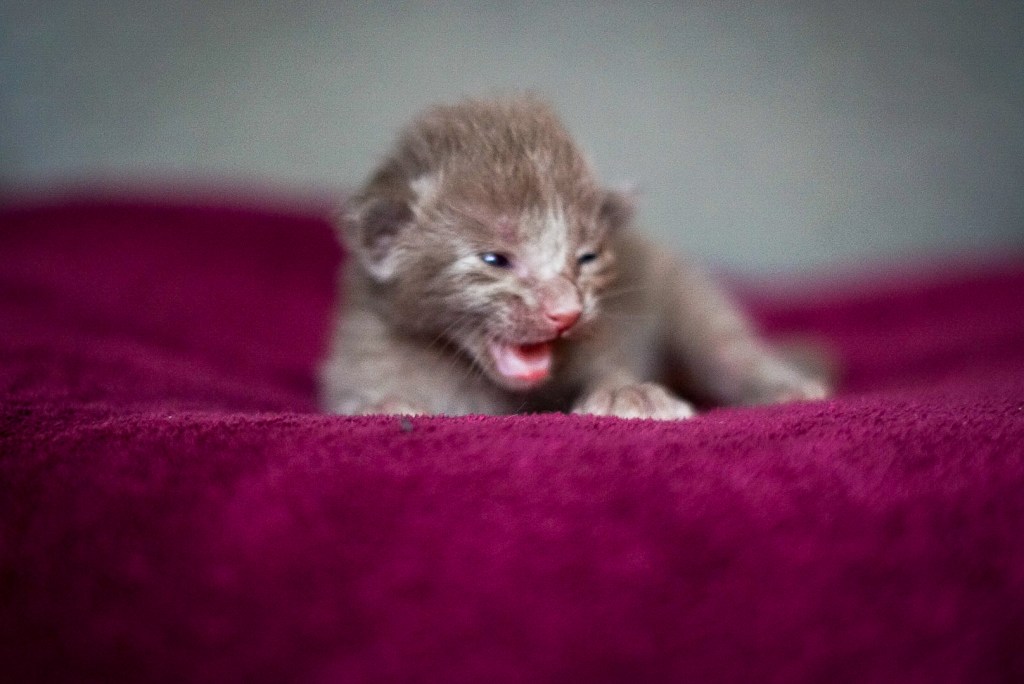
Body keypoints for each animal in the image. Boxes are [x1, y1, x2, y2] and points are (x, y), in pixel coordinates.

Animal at [319, 95, 829, 418]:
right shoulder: (361, 346)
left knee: (725, 347)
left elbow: (611, 363)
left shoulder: (612, 329)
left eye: (586, 257)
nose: (566, 312)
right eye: (495, 260)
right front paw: (379, 404)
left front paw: (629, 392)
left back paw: (788, 386)